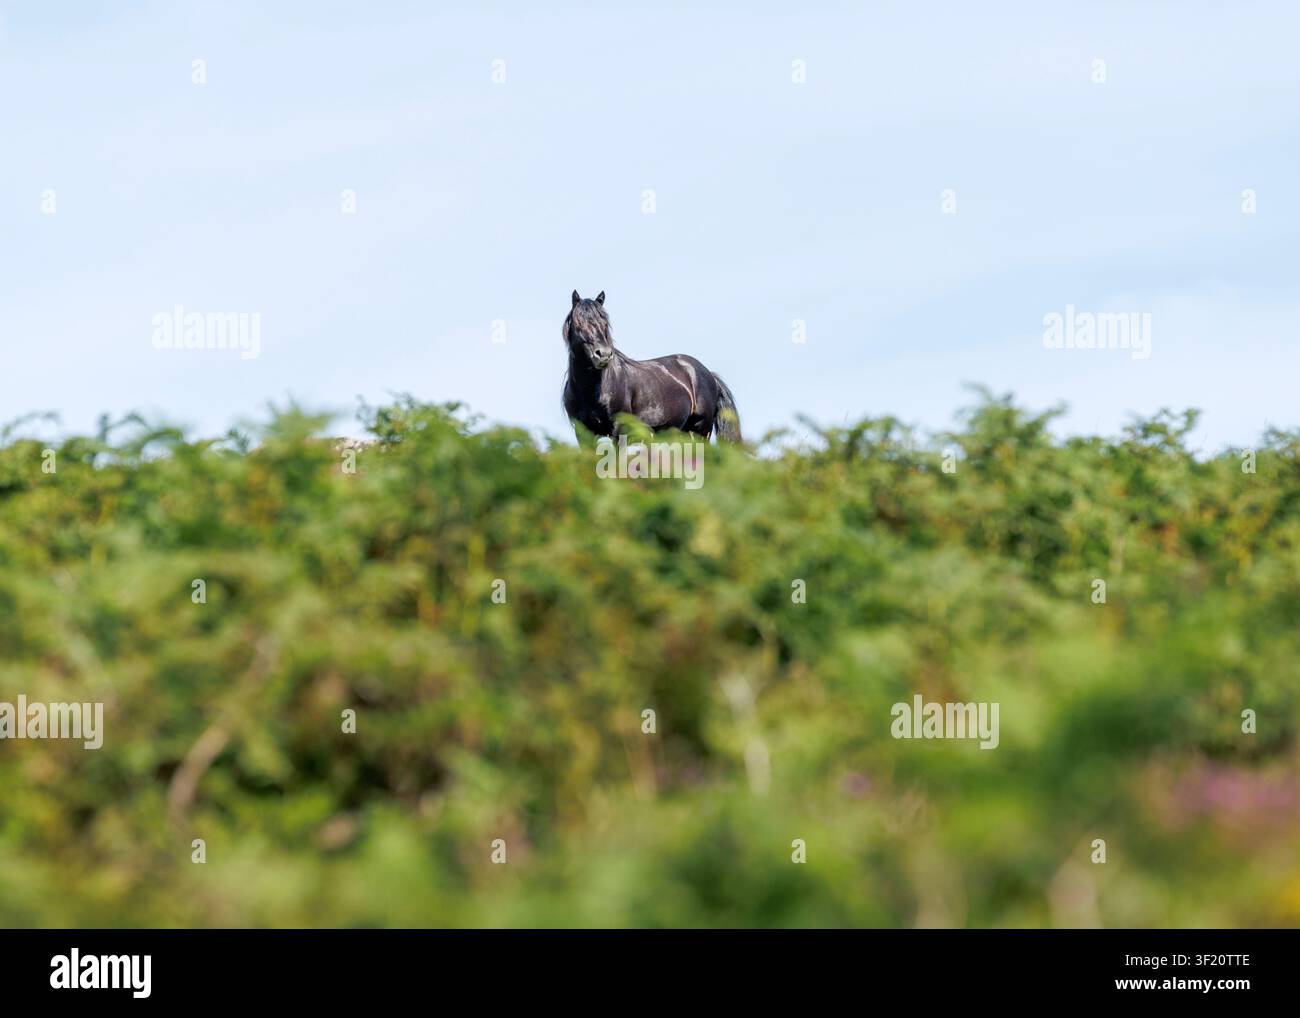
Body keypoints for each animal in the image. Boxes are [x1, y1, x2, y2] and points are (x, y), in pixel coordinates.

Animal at [561, 290, 742, 446]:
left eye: (604, 323)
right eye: (578, 323)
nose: (603, 354)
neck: (592, 390)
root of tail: (709, 375)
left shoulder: (619, 431)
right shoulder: (583, 433)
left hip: (700, 432)